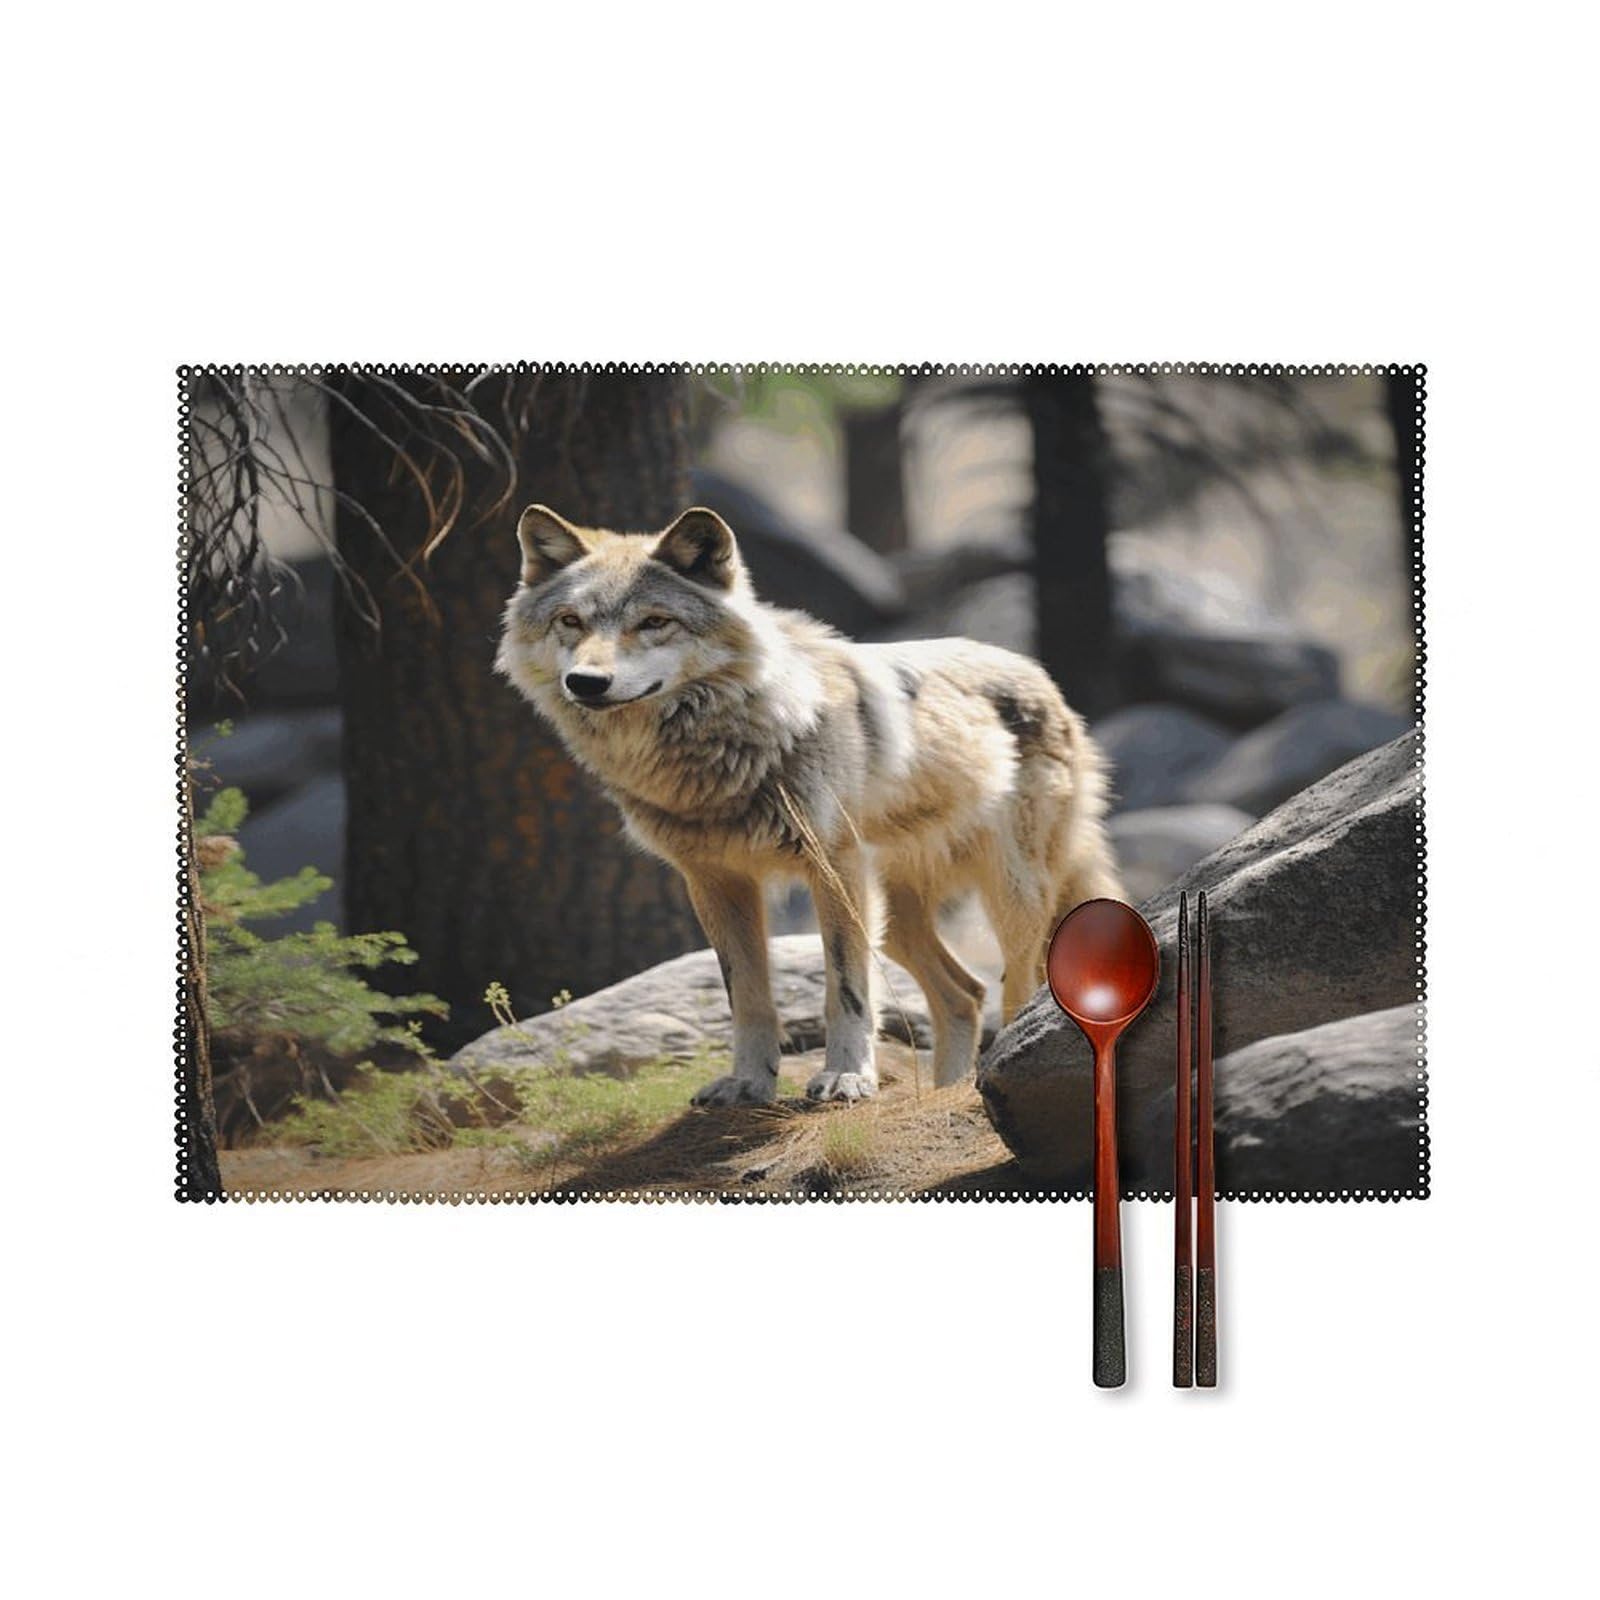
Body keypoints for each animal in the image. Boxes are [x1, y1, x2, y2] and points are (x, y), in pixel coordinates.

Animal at [496, 504, 1122, 1105]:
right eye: (570, 622)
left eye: (653, 622)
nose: (586, 681)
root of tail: (1041, 676)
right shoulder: (716, 884)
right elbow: (748, 997)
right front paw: (748, 1083)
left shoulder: (834, 870)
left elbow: (845, 989)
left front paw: (847, 1078)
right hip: (895, 918)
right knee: (964, 994)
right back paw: (952, 1088)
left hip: (1006, 896)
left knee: (1018, 985)